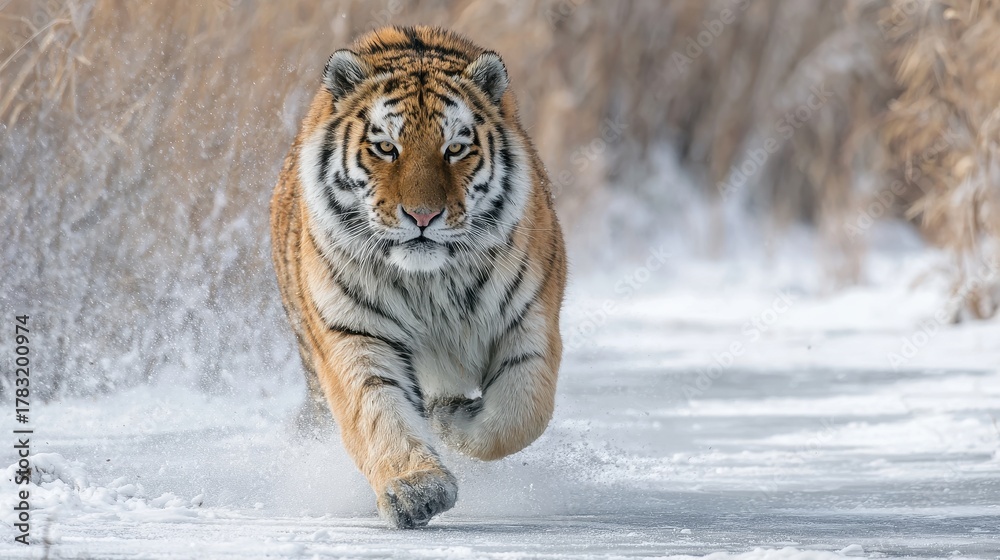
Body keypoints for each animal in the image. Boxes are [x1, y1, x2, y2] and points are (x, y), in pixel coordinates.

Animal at [269, 25, 567, 529]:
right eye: (387, 148)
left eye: (456, 149)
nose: (423, 215)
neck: (430, 282)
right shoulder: (354, 332)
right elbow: (379, 411)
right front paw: (417, 490)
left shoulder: (530, 320)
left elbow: (521, 412)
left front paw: (451, 419)